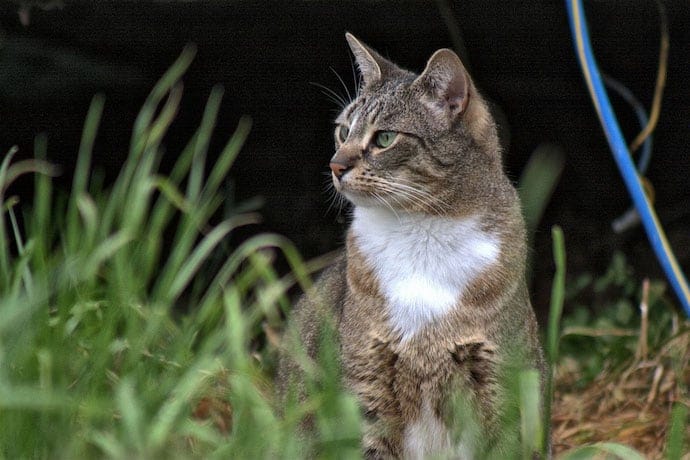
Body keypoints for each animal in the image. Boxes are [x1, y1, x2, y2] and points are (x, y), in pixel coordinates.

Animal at [276, 34, 544, 458]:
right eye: (343, 131)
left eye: (384, 138)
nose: (335, 165)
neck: (420, 231)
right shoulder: (365, 384)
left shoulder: (499, 384)